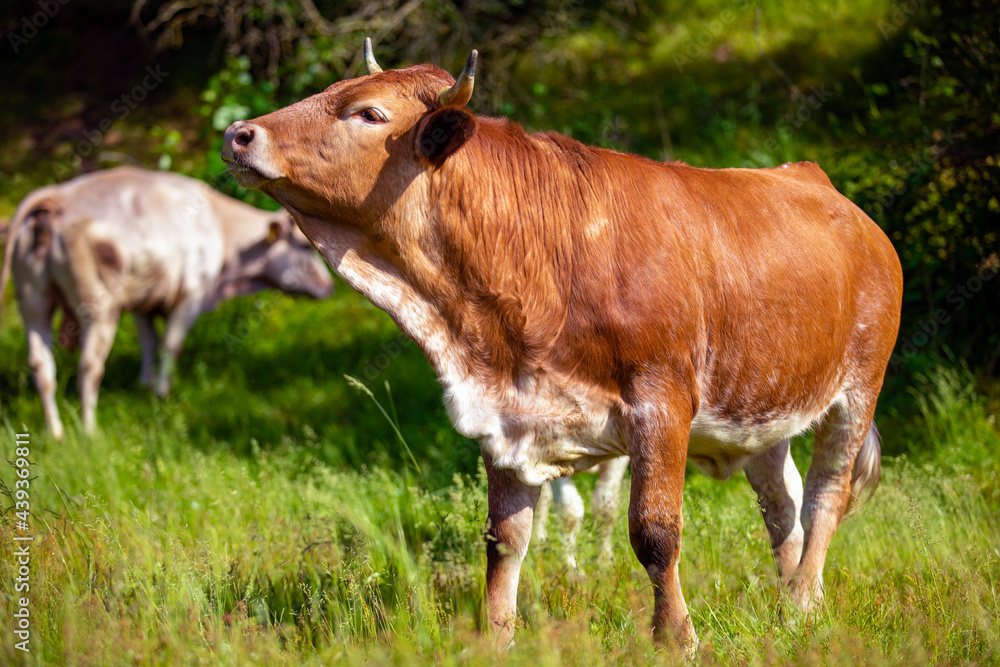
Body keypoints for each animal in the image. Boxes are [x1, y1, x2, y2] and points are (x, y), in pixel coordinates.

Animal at [0, 166, 336, 438]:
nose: (329, 286)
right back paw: (89, 430)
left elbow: (150, 343)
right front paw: (162, 392)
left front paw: (145, 385)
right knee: (89, 366)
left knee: (41, 365)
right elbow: (171, 344)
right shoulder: (192, 294)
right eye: (305, 245)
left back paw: (55, 432)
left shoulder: (143, 302)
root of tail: (56, 197)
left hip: (33, 302)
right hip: (99, 309)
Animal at [221, 40, 908, 652]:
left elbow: (655, 533)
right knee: (781, 502)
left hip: (858, 389)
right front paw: (496, 638)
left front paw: (676, 637)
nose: (239, 133)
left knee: (825, 494)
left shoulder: (661, 405)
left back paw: (805, 602)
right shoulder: (506, 416)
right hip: (763, 408)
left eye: (368, 113)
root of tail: (821, 184)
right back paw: (786, 598)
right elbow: (505, 540)